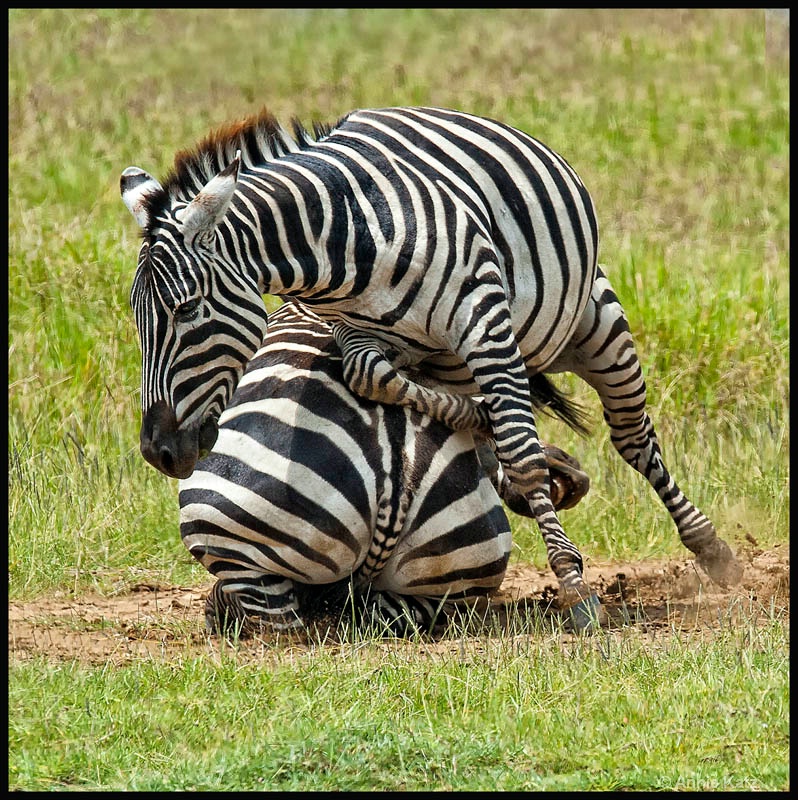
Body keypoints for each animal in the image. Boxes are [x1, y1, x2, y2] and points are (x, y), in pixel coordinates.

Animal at [183, 300, 592, 636]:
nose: (572, 478)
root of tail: (395, 467)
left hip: (219, 522)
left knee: (273, 619)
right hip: (451, 576)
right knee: (385, 613)